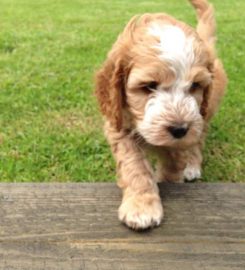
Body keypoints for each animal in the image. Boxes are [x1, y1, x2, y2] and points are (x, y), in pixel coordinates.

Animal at [94, 0, 227, 230]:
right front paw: (142, 206)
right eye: (149, 85)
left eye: (195, 85)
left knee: (197, 143)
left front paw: (169, 180)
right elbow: (134, 166)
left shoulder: (186, 132)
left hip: (203, 115)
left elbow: (173, 164)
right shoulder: (118, 124)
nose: (179, 129)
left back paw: (192, 166)